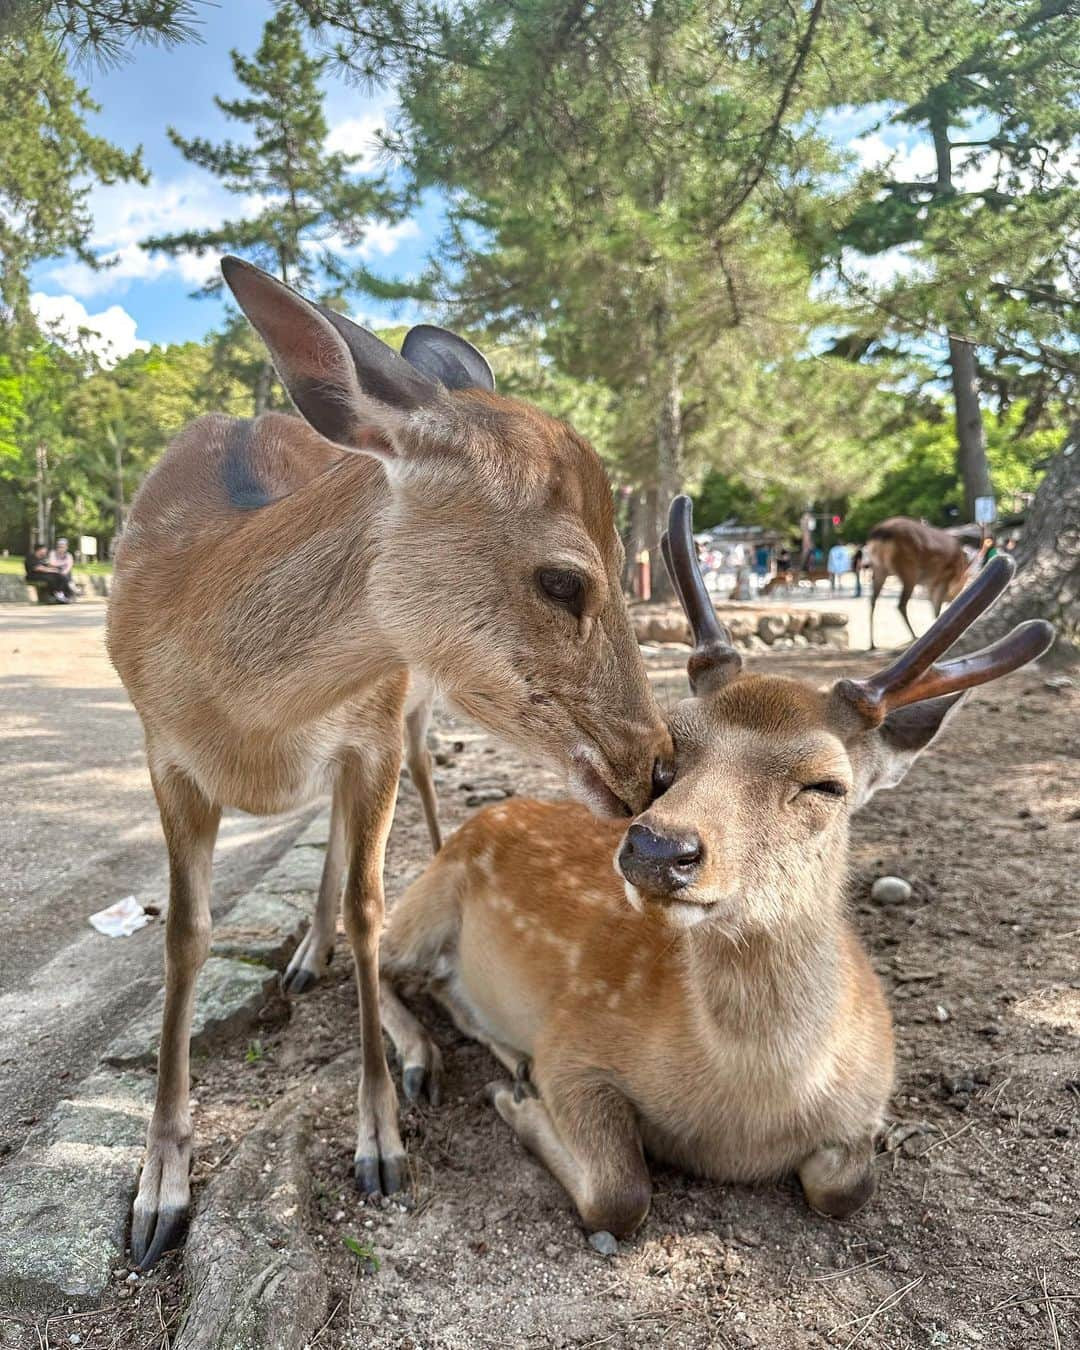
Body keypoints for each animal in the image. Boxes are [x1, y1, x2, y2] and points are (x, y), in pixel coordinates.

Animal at [105, 257, 669, 1269]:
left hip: (407, 705)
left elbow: (375, 912)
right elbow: (184, 935)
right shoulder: (162, 752)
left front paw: (382, 1144)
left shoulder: (365, 730)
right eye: (563, 579)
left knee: (413, 805)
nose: (656, 765)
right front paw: (157, 1194)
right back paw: (307, 959)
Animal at [858, 515, 972, 648]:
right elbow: (936, 609)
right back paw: (914, 636)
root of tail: (880, 534)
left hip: (880, 569)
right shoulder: (942, 579)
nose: (951, 599)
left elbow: (933, 606)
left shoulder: (930, 584)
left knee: (872, 601)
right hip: (908, 570)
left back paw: (872, 644)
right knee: (901, 604)